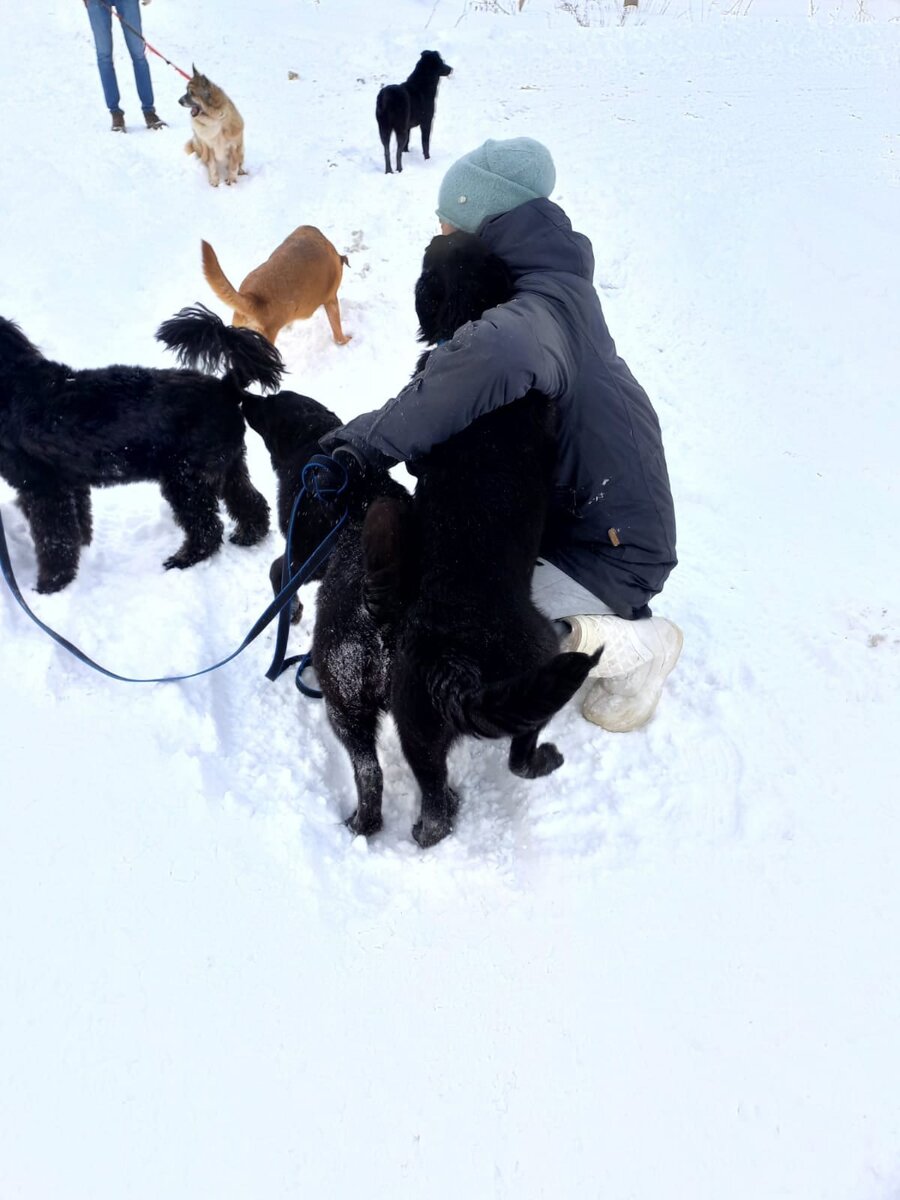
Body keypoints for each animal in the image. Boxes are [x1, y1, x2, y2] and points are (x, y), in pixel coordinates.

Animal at [0, 307, 282, 592]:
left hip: (186, 479)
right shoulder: (70, 482)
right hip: (228, 466)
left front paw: (51, 584)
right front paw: (83, 552)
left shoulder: (43, 488)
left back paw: (183, 559)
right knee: (250, 501)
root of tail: (226, 387)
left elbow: (54, 539)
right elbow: (78, 524)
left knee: (207, 529)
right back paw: (249, 535)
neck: (14, 385)